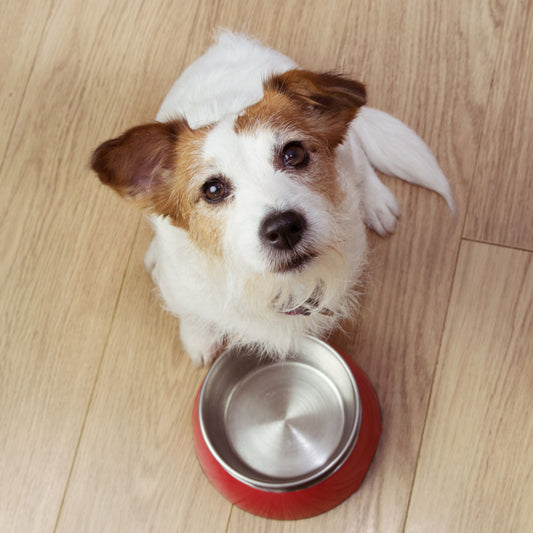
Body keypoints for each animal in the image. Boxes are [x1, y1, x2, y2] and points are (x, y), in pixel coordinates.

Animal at [90, 31, 454, 364]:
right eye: (213, 190)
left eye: (294, 153)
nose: (283, 228)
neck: (269, 286)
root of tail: (229, 40)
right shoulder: (183, 288)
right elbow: (192, 313)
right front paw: (199, 339)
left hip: (348, 149)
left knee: (360, 157)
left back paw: (376, 201)